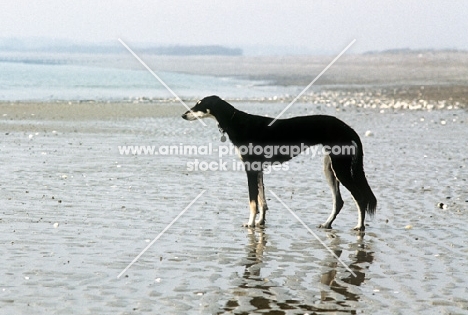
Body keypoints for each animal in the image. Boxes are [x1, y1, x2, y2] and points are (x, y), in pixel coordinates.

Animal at [183, 96, 376, 232]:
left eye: (199, 104)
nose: (183, 115)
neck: (237, 121)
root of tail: (348, 128)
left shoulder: (250, 168)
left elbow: (253, 201)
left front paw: (250, 223)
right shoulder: (258, 169)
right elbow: (262, 200)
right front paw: (260, 222)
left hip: (341, 168)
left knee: (360, 198)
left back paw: (360, 227)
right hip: (330, 168)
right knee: (339, 201)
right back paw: (327, 223)